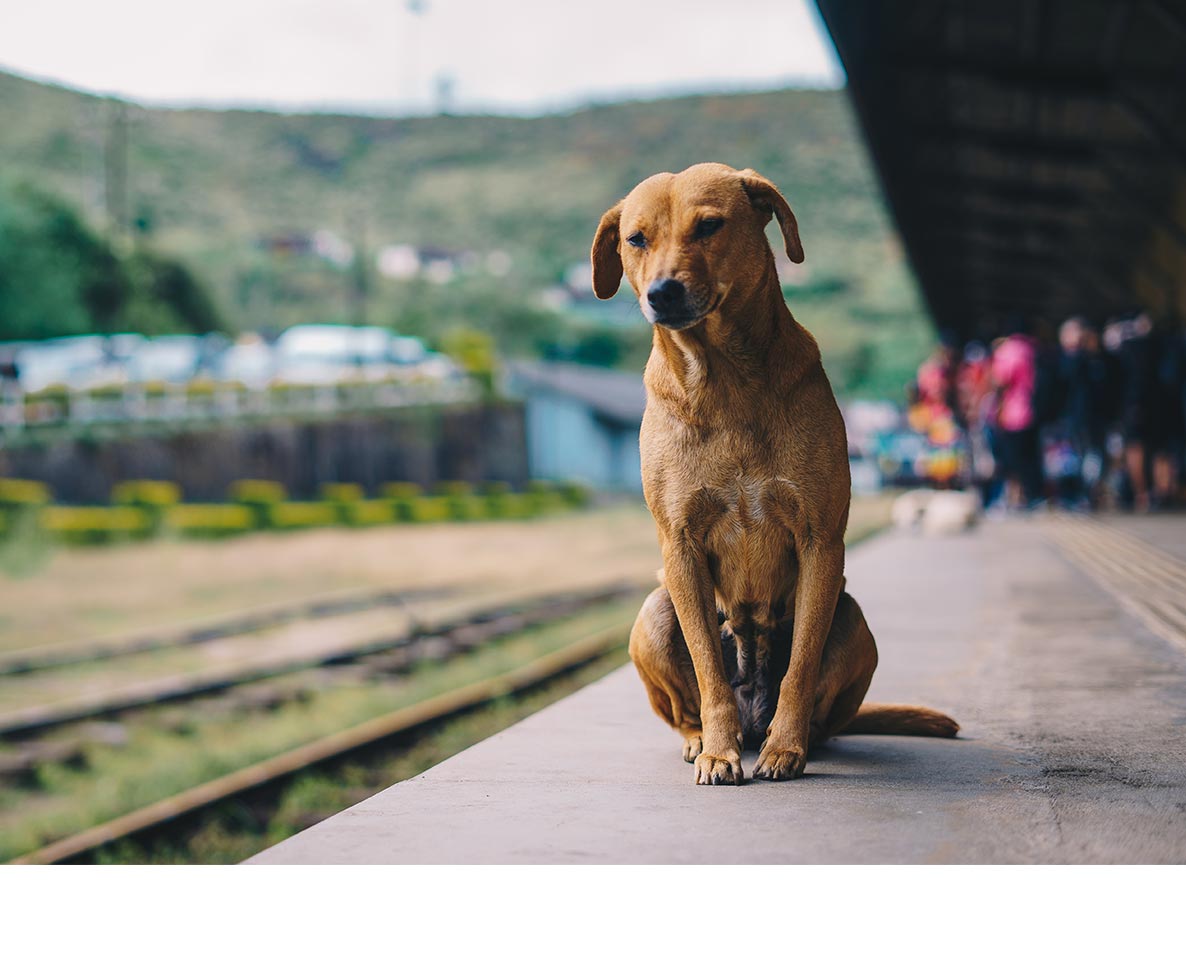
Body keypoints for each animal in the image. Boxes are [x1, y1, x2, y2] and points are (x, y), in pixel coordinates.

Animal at [590, 158, 953, 782]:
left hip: (854, 620)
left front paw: (787, 748)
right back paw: (701, 738)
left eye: (709, 226)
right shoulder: (680, 546)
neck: (724, 381)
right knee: (686, 697)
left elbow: (801, 666)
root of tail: (751, 717)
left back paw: (796, 737)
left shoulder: (820, 542)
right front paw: (718, 750)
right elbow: (709, 670)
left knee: (824, 700)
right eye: (636, 239)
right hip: (654, 614)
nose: (662, 292)